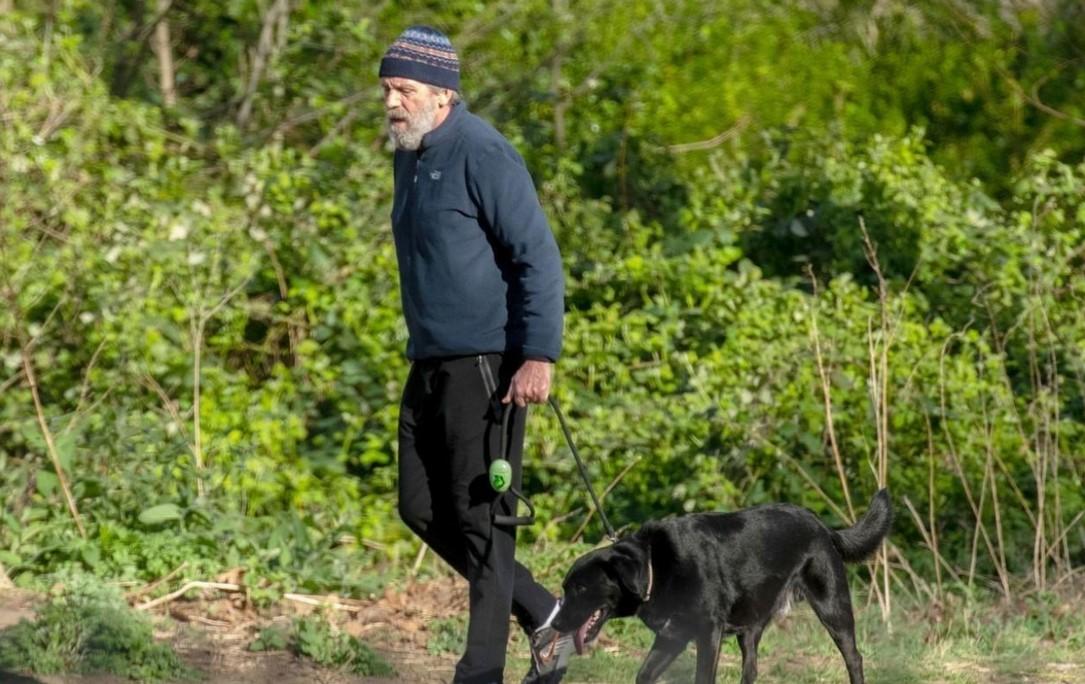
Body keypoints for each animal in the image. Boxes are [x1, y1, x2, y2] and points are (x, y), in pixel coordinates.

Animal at [551, 490, 889, 681]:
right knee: (751, 669)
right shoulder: (672, 637)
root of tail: (822, 526)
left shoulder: (707, 633)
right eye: (567, 588)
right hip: (750, 627)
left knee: (854, 658)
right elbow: (644, 674)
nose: (554, 625)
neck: (654, 568)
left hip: (833, 608)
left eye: (581, 589)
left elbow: (702, 678)